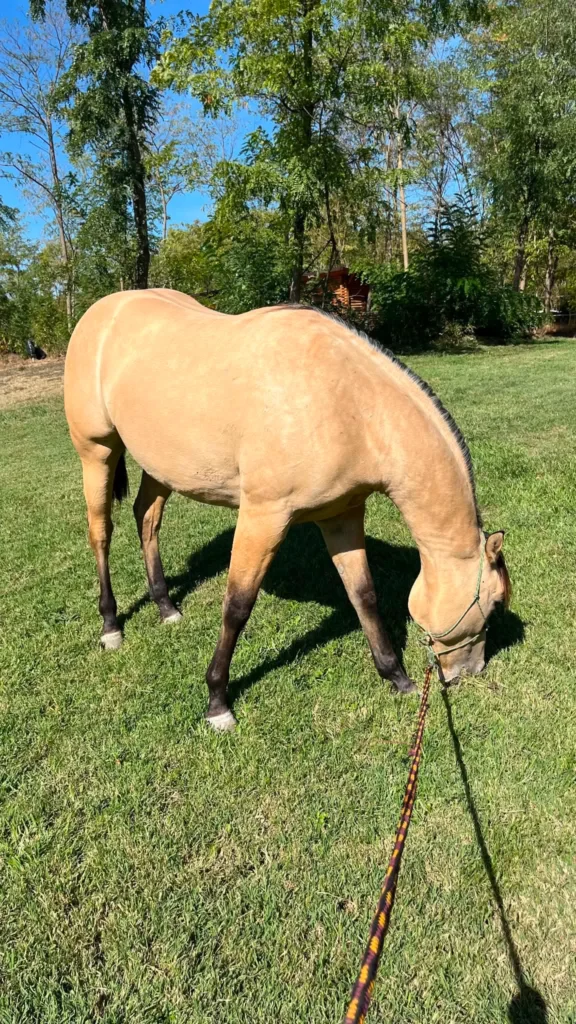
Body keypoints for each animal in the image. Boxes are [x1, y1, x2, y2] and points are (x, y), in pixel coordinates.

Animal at [64, 288, 510, 731]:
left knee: (147, 518)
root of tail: (102, 310)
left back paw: (166, 607)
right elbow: (237, 606)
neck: (351, 405)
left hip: (161, 466)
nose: (470, 672)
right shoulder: (263, 517)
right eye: (495, 605)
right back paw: (110, 626)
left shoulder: (341, 516)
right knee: (101, 532)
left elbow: (363, 595)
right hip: (97, 452)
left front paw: (396, 677)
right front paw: (217, 702)